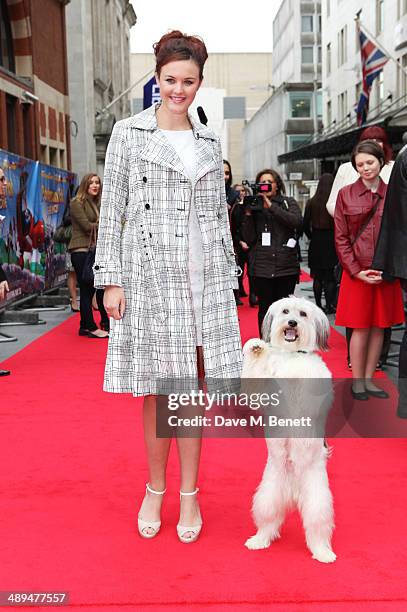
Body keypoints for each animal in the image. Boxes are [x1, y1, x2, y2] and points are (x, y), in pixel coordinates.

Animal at [244, 296, 336, 564]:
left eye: (303, 314)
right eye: (285, 311)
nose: (292, 323)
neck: (293, 356)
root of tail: (294, 490)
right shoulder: (264, 384)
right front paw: (256, 347)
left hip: (318, 499)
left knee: (317, 528)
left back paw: (323, 553)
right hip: (269, 493)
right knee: (268, 520)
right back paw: (259, 540)